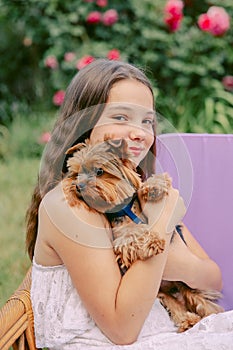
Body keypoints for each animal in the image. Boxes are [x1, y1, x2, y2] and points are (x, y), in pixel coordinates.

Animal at [62, 137, 224, 330]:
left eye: (99, 171)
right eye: (76, 174)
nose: (78, 186)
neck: (125, 208)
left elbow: (148, 184)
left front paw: (153, 187)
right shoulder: (121, 237)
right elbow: (130, 235)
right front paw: (152, 242)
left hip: (188, 285)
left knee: (201, 301)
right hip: (161, 294)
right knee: (175, 305)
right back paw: (187, 321)